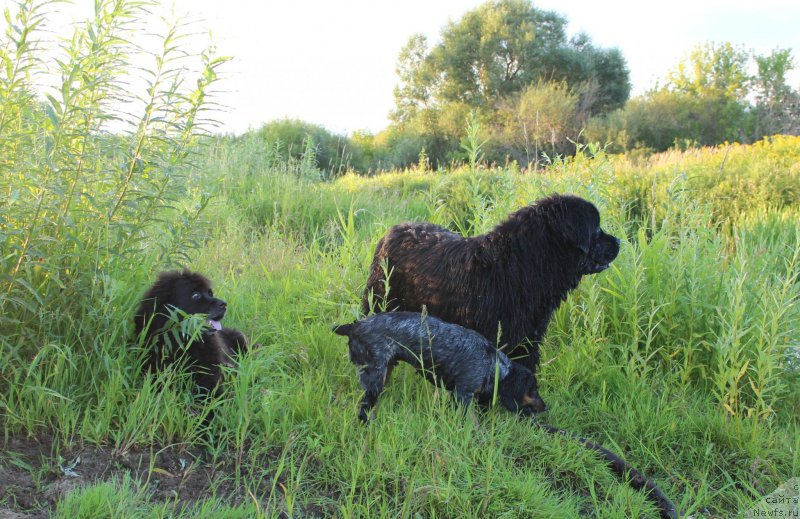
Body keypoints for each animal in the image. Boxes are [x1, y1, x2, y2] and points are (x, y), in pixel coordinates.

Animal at [328, 310, 548, 424]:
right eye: (533, 390)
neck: (492, 364)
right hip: (374, 378)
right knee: (363, 409)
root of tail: (355, 326)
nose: (545, 406)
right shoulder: (462, 395)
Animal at [362, 194, 620, 406]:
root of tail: (390, 233)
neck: (517, 268)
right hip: (380, 304)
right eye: (597, 229)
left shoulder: (528, 338)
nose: (618, 242)